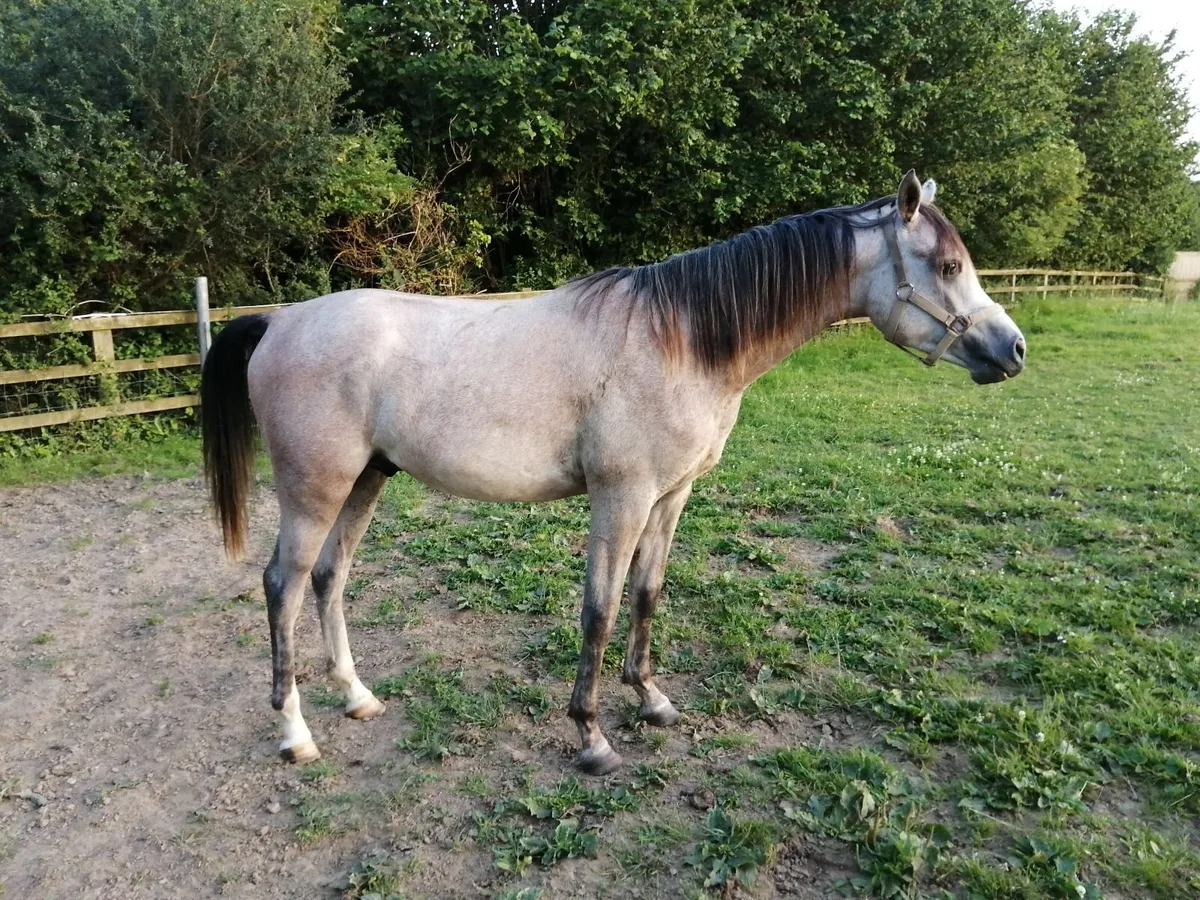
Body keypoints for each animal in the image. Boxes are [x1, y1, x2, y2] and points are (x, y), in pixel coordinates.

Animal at [200, 171, 1026, 775]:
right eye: (948, 266)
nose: (1012, 348)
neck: (682, 338)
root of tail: (281, 319)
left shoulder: (670, 495)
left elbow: (647, 593)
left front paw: (651, 699)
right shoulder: (619, 498)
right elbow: (597, 610)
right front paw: (591, 736)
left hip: (366, 480)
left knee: (328, 577)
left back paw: (357, 697)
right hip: (315, 490)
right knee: (282, 586)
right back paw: (295, 734)